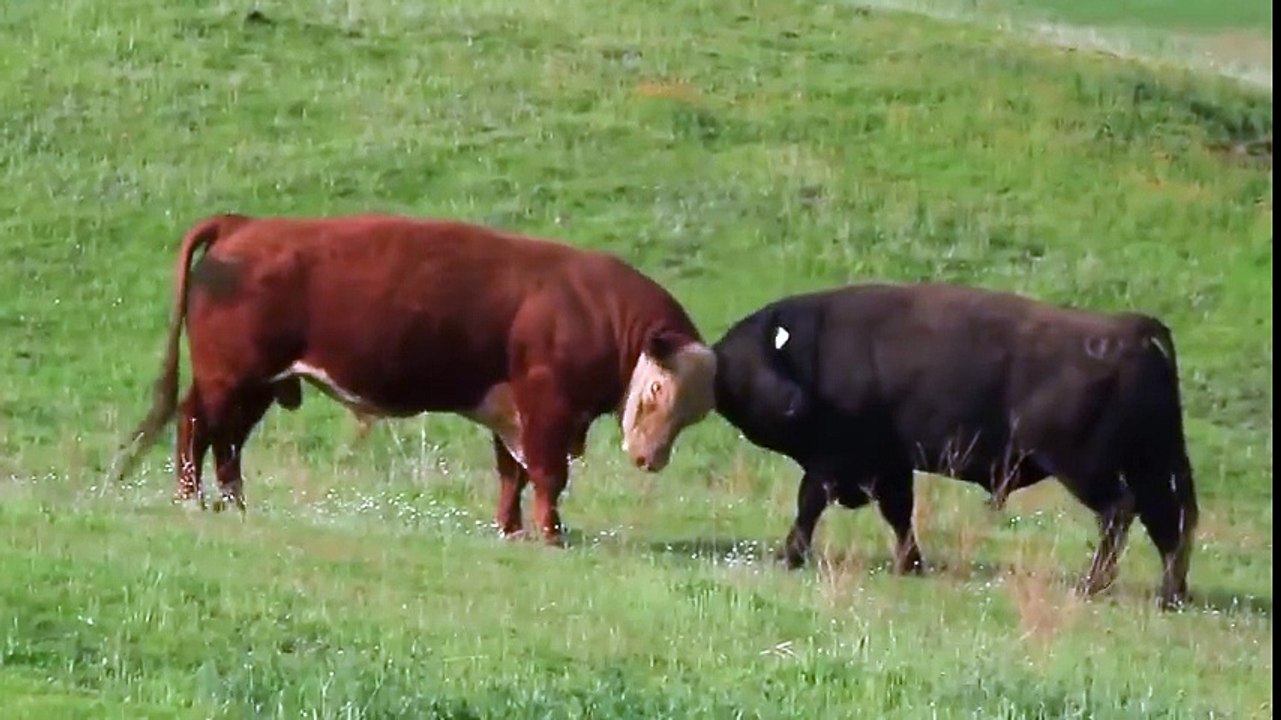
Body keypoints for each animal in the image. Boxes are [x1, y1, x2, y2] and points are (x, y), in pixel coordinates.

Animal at [108, 213, 718, 546]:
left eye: (694, 413)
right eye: (657, 389)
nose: (650, 459)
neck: (594, 311)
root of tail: (245, 224)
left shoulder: (512, 412)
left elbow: (512, 474)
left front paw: (512, 529)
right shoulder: (547, 409)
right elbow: (546, 475)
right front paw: (551, 535)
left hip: (255, 385)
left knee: (228, 440)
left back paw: (234, 503)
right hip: (227, 378)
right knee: (195, 424)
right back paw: (190, 498)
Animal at [711, 282, 1200, 609]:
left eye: (772, 354)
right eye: (740, 364)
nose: (790, 402)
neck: (811, 349)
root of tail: (1130, 329)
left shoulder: (834, 463)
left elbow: (811, 505)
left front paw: (790, 555)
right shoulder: (888, 464)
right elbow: (898, 514)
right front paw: (910, 564)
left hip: (1086, 467)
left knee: (1121, 512)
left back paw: (1092, 585)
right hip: (1153, 463)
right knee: (1171, 522)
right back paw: (1169, 595)